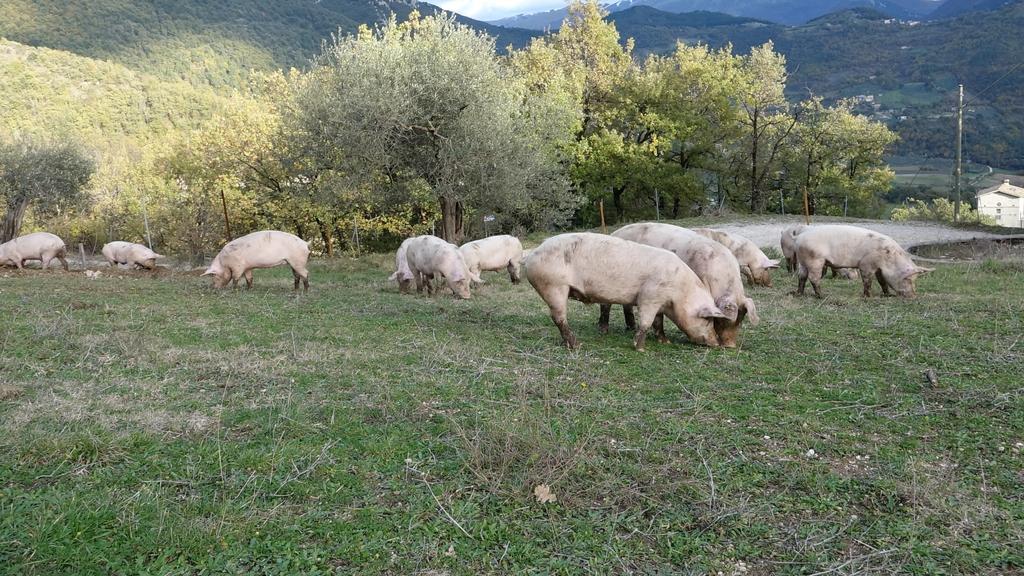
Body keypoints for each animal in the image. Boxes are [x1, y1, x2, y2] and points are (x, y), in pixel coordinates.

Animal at [528, 229, 729, 348]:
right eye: (708, 320)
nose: (717, 343)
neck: (680, 292)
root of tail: (532, 255)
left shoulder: (659, 301)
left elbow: (658, 321)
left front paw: (665, 341)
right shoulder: (649, 295)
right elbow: (646, 321)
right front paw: (640, 348)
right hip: (554, 286)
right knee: (558, 318)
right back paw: (576, 344)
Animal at [790, 223, 937, 297]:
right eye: (908, 279)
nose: (914, 295)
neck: (889, 258)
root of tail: (799, 238)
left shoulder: (879, 268)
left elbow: (882, 281)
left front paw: (888, 295)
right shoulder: (867, 264)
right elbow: (867, 280)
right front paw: (868, 296)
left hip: (803, 261)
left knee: (801, 276)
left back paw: (798, 294)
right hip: (815, 259)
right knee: (813, 278)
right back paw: (822, 295)